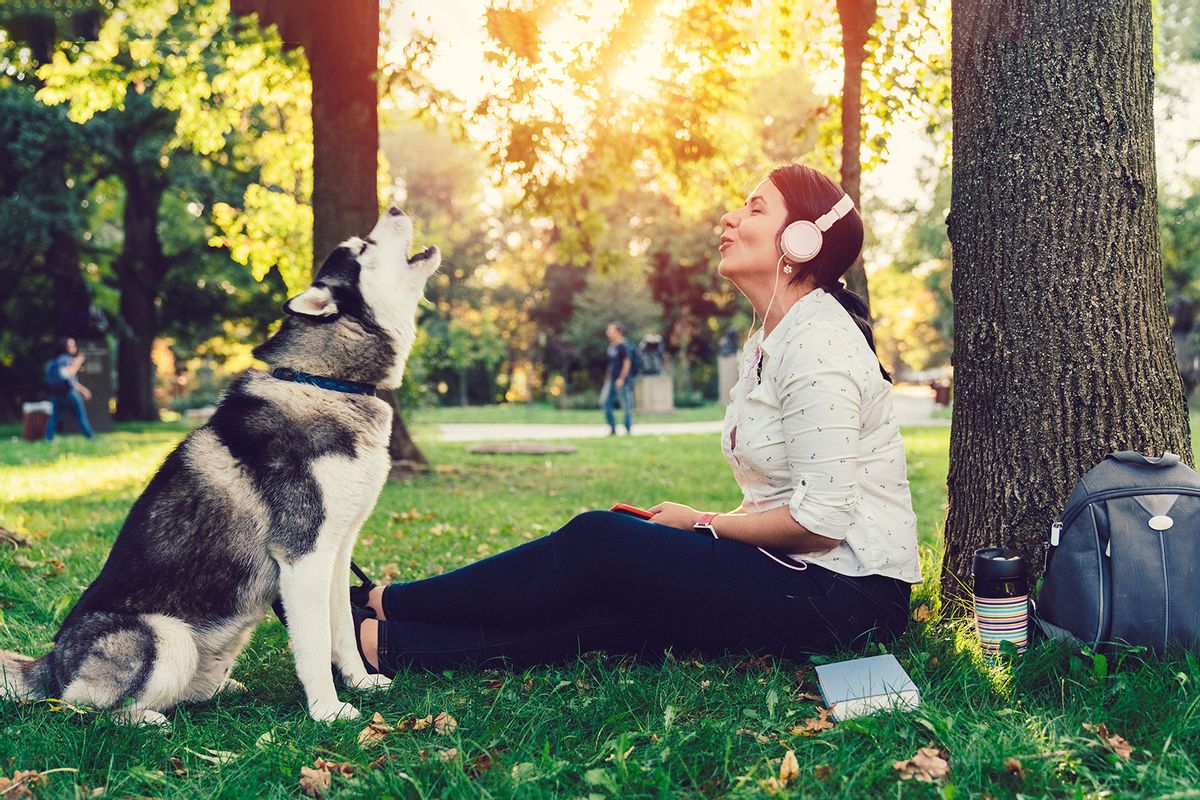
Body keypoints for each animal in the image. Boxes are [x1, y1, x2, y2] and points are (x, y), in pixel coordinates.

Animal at [0, 208, 441, 724]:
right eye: (363, 248)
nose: (394, 209)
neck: (325, 382)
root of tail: (51, 662)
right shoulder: (302, 556)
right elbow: (314, 644)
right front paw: (327, 711)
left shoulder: (335, 551)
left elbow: (342, 633)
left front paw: (362, 682)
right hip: (166, 637)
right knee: (85, 708)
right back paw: (145, 721)